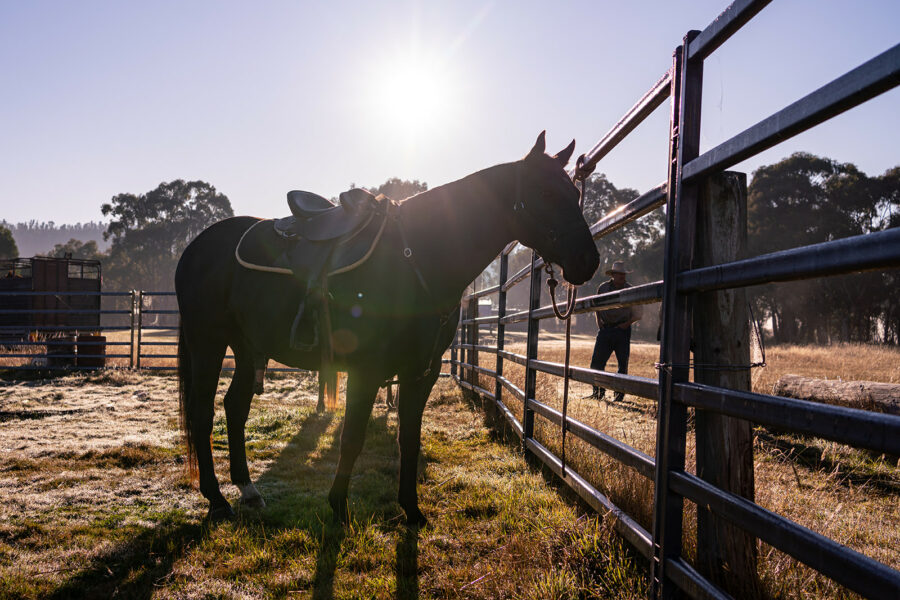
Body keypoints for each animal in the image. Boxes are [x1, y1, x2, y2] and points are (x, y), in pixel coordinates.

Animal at [175, 132, 600, 525]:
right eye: (544, 191)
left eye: (573, 191)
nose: (588, 260)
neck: (418, 257)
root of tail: (197, 246)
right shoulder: (366, 369)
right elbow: (351, 437)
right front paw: (339, 508)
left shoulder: (420, 372)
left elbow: (408, 438)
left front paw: (411, 509)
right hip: (207, 342)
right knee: (202, 412)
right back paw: (217, 499)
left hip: (248, 347)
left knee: (235, 407)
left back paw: (248, 490)